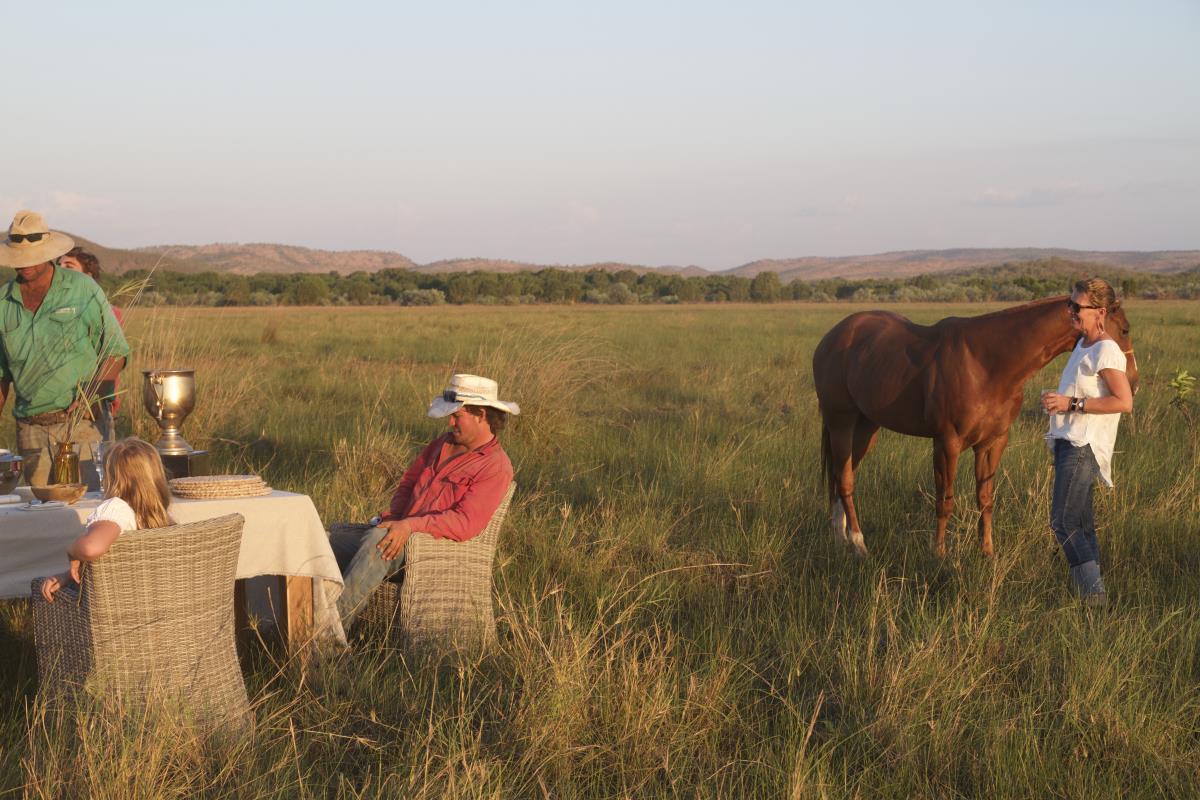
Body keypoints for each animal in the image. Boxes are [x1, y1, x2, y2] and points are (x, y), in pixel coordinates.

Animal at [811, 295, 1138, 558]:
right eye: (1124, 329)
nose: (1132, 383)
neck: (986, 363)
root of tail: (834, 336)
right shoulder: (947, 444)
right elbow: (945, 501)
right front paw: (939, 555)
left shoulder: (992, 443)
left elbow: (985, 499)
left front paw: (987, 552)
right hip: (841, 421)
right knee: (845, 480)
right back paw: (858, 543)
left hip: (866, 427)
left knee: (841, 475)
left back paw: (840, 537)